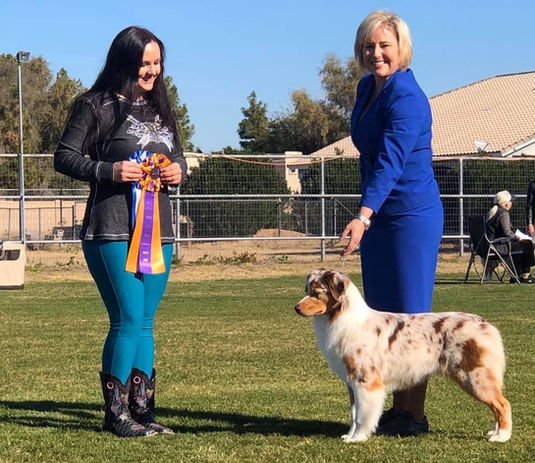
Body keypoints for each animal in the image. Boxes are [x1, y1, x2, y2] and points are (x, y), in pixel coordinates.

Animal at [294, 270, 512, 443]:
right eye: (306, 291)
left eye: (316, 293)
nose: (296, 308)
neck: (343, 319)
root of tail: (483, 323)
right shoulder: (351, 382)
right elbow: (354, 413)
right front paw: (349, 435)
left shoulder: (366, 381)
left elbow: (362, 415)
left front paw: (358, 438)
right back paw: (494, 432)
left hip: (473, 376)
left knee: (502, 404)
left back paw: (501, 437)